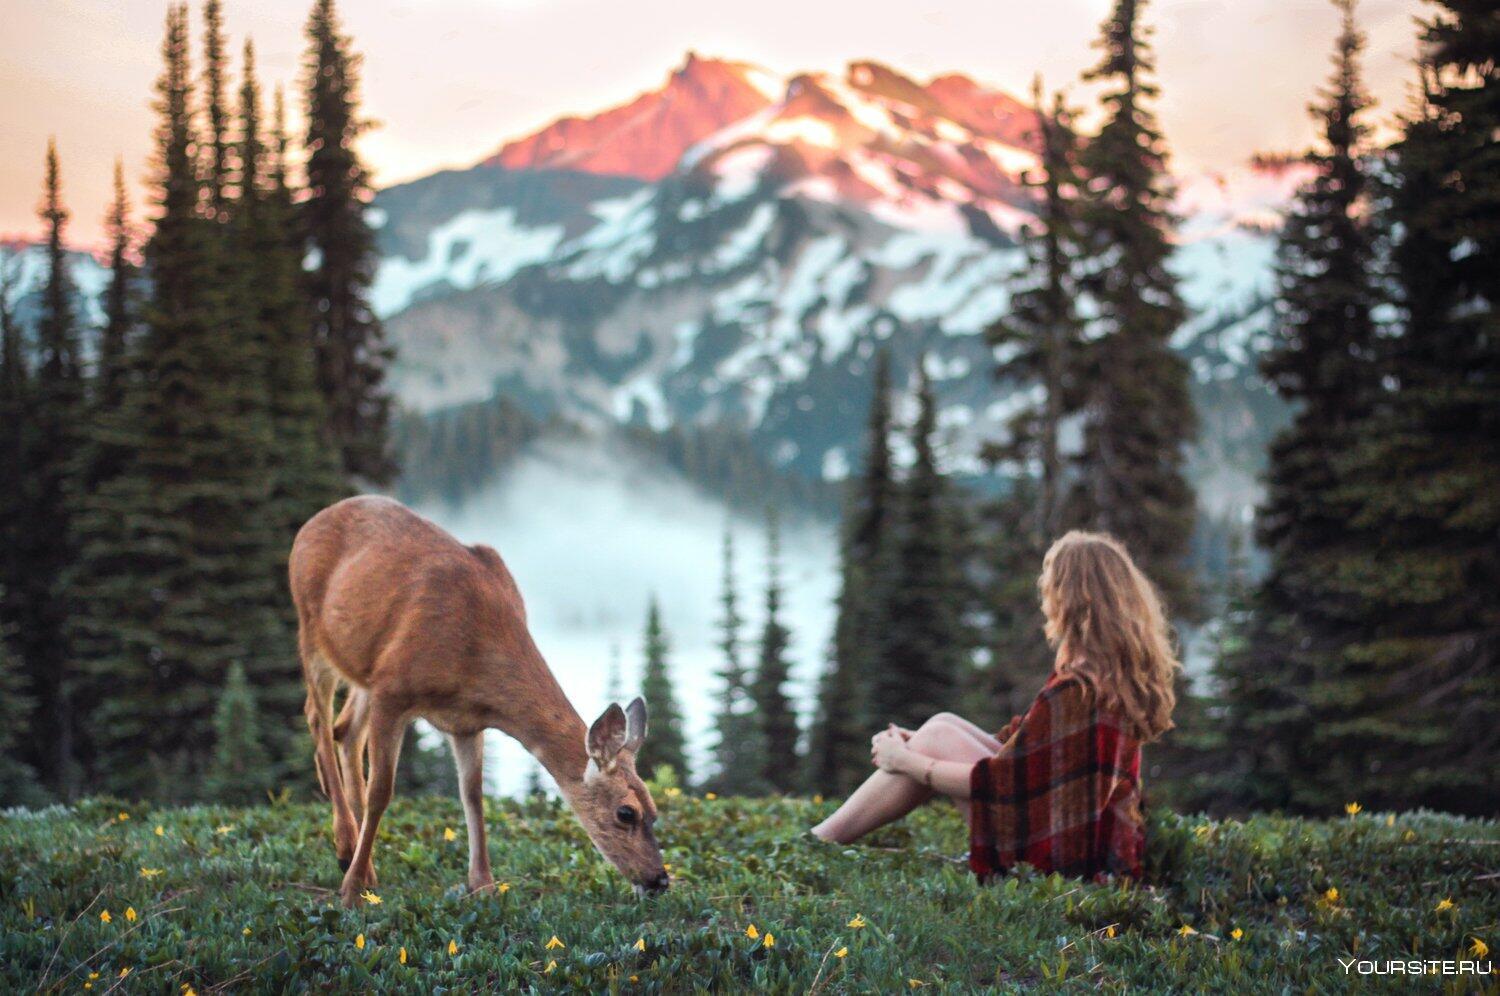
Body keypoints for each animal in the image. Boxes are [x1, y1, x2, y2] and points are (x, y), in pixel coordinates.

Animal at [289, 495, 672, 906]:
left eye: (655, 810)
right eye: (626, 813)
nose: (659, 880)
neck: (474, 658)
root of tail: (314, 521)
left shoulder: (465, 722)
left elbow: (473, 795)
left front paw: (484, 884)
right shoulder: (393, 689)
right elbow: (382, 791)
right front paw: (351, 890)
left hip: (363, 667)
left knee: (345, 730)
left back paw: (364, 856)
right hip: (312, 629)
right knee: (317, 718)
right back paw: (347, 848)